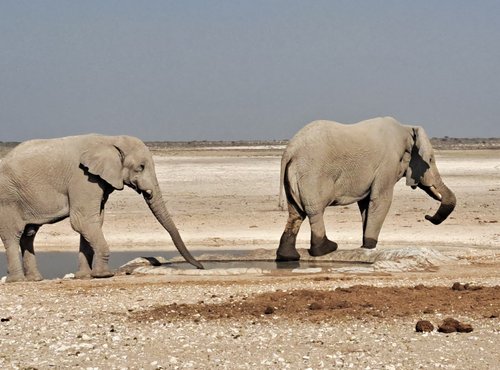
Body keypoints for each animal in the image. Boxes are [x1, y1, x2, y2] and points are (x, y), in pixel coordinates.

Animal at [0, 134, 203, 282]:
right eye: (140, 167)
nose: (200, 266)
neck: (111, 140)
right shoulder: (83, 177)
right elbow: (83, 221)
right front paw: (104, 275)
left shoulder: (98, 180)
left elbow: (94, 221)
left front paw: (84, 277)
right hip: (8, 197)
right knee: (13, 235)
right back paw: (18, 281)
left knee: (29, 235)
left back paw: (34, 279)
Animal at [278, 117, 458, 262]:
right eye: (430, 160)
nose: (427, 216)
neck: (405, 128)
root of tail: (290, 150)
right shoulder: (387, 164)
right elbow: (381, 200)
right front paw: (370, 247)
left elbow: (366, 204)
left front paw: (365, 246)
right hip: (312, 174)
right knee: (314, 211)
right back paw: (327, 248)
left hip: (295, 176)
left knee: (295, 214)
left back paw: (288, 256)